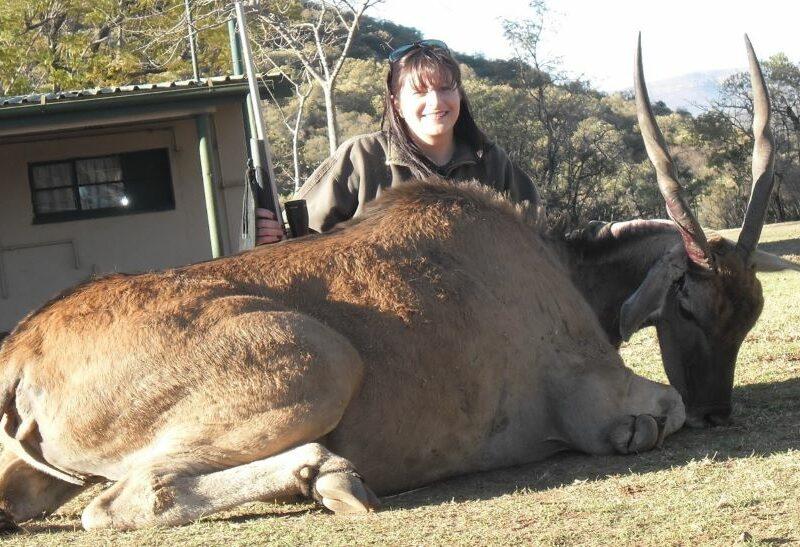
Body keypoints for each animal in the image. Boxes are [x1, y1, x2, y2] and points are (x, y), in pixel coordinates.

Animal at [0, 178, 684, 532]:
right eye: (691, 294)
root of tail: (25, 346)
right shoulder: (597, 401)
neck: (562, 267)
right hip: (323, 360)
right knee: (127, 498)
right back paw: (328, 475)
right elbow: (664, 409)